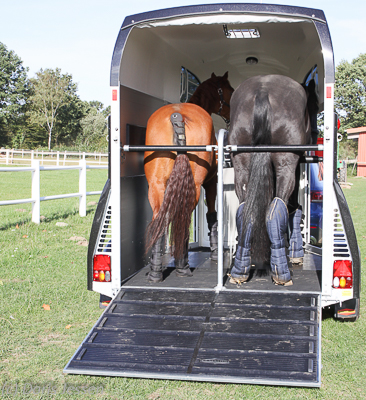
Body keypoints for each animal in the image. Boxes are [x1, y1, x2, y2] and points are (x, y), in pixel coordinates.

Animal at [144, 72, 233, 282]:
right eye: (231, 90)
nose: (230, 115)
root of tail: (177, 116)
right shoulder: (210, 183)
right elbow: (212, 216)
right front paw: (215, 253)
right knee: (182, 219)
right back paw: (182, 267)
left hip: (156, 185)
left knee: (160, 220)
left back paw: (155, 272)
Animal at [227, 75, 316, 286]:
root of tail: (263, 90)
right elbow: (294, 207)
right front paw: (296, 253)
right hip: (286, 163)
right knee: (276, 210)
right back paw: (281, 273)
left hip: (241, 164)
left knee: (246, 212)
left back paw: (240, 271)